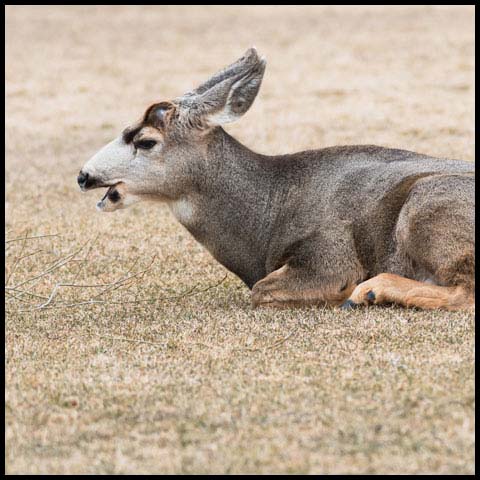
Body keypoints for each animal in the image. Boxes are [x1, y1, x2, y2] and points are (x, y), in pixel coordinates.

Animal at [77, 47, 474, 312]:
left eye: (145, 141)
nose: (84, 176)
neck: (268, 215)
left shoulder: (332, 255)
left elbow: (262, 290)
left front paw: (342, 294)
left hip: (426, 205)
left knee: (464, 292)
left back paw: (368, 292)